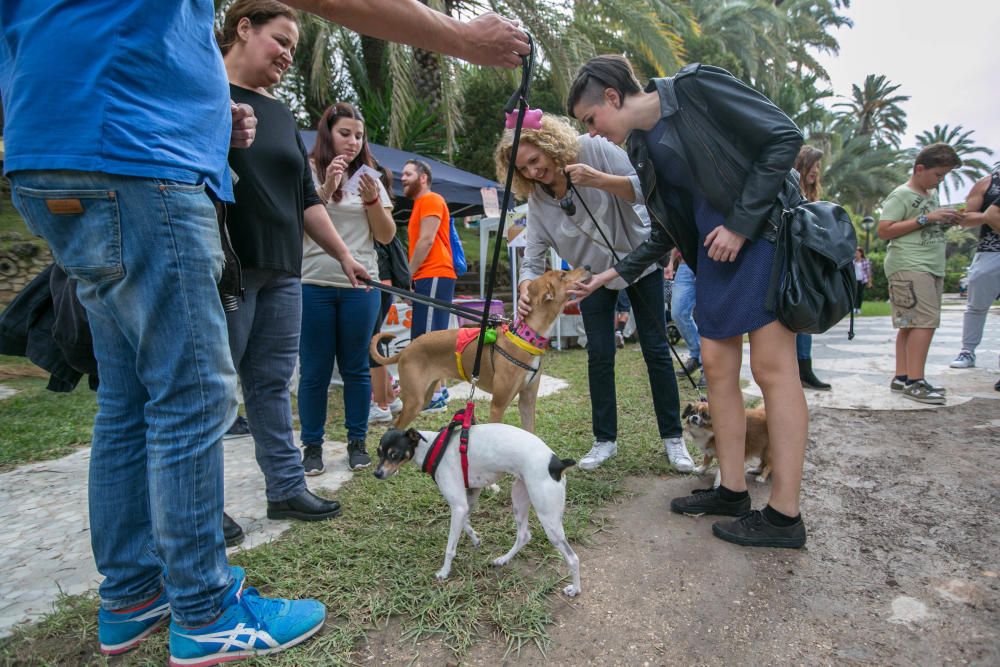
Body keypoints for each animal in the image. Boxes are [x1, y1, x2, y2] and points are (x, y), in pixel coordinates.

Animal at [372, 268, 588, 434]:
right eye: (563, 275)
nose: (587, 267)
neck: (525, 337)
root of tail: (408, 348)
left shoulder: (527, 400)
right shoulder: (498, 405)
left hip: (423, 397)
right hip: (414, 401)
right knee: (395, 426)